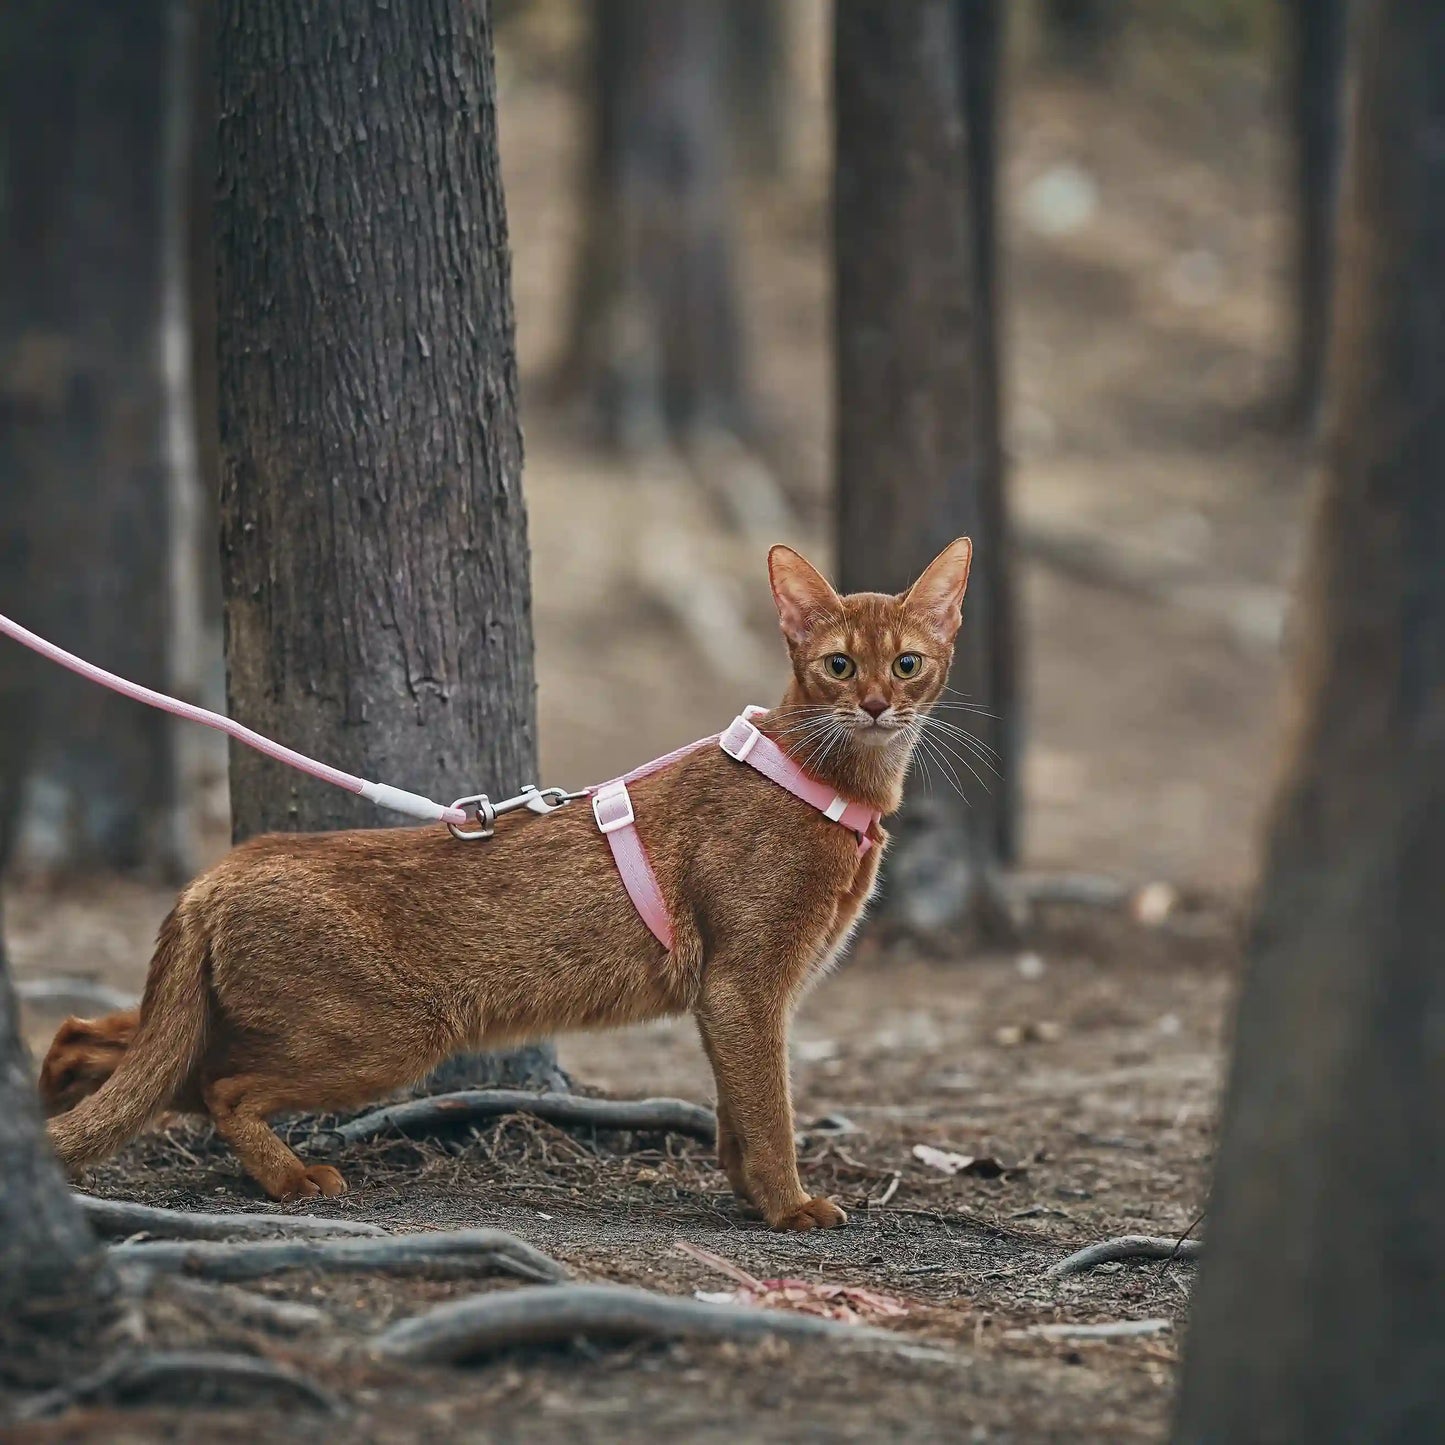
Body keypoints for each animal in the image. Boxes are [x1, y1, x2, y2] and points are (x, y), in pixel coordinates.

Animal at [42, 543, 971, 1231]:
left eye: (908, 663)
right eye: (839, 665)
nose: (878, 704)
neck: (823, 780)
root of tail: (214, 874)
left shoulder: (727, 996)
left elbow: (734, 1113)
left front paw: (747, 1195)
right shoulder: (745, 984)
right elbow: (769, 1109)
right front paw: (788, 1206)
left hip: (249, 1018)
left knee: (109, 1042)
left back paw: (52, 1091)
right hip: (383, 1033)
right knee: (218, 1087)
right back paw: (295, 1179)